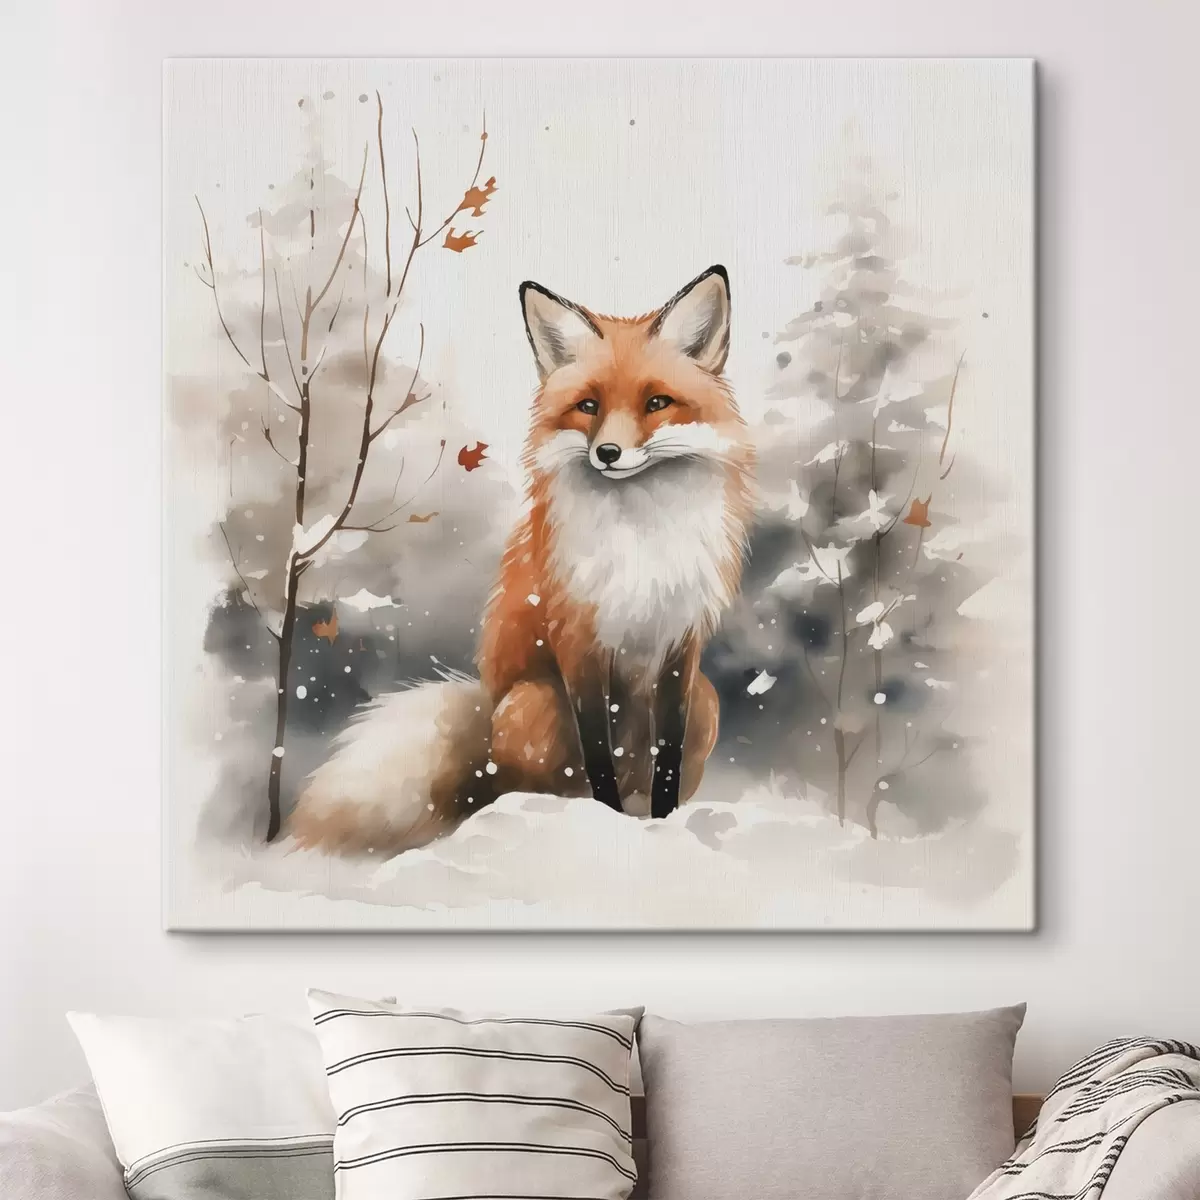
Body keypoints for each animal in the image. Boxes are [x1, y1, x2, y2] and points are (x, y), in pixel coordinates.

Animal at [288, 265, 755, 855]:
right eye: (588, 406)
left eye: (657, 403)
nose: (608, 454)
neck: (639, 537)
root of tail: (485, 719)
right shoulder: (578, 641)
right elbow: (598, 753)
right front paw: (605, 823)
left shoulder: (680, 646)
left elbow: (666, 759)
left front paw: (665, 825)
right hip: (534, 701)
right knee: (523, 790)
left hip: (707, 701)